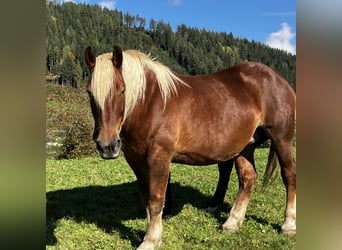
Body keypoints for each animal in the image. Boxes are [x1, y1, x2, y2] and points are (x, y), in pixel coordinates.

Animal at [84, 45, 296, 250]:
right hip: (245, 146)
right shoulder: (136, 160)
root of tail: (278, 79)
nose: (107, 146)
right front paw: (153, 233)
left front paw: (150, 240)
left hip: (281, 139)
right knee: (248, 179)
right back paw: (232, 223)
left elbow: (156, 199)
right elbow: (146, 198)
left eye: (122, 90)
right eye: (89, 92)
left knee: (289, 175)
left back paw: (288, 224)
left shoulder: (159, 157)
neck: (150, 103)